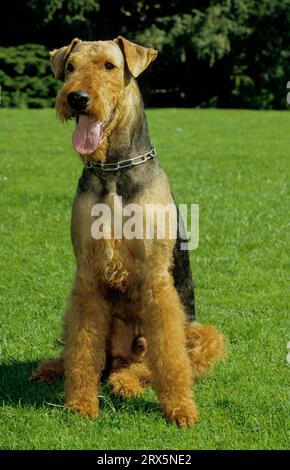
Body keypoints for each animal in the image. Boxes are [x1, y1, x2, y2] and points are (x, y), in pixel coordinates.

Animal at [32, 36, 227, 426]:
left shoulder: (156, 276)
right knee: (92, 355)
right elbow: (83, 348)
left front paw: (181, 410)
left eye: (109, 66)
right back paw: (53, 370)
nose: (76, 98)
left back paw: (128, 384)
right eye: (71, 66)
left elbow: (168, 355)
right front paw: (80, 403)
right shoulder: (87, 275)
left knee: (149, 365)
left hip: (200, 333)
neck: (113, 170)